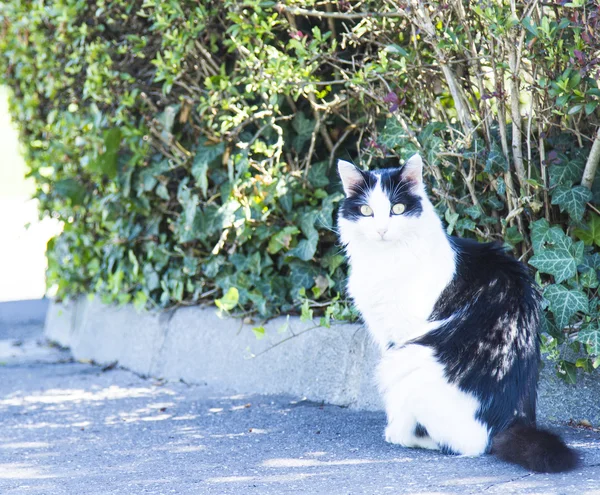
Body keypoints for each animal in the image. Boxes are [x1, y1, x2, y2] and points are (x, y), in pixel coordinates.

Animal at [336, 155, 580, 472]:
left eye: (397, 209)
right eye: (366, 211)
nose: (381, 230)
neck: (386, 260)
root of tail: (508, 421)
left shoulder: (401, 333)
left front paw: (394, 431)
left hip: (407, 360)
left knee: (466, 445)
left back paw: (411, 438)